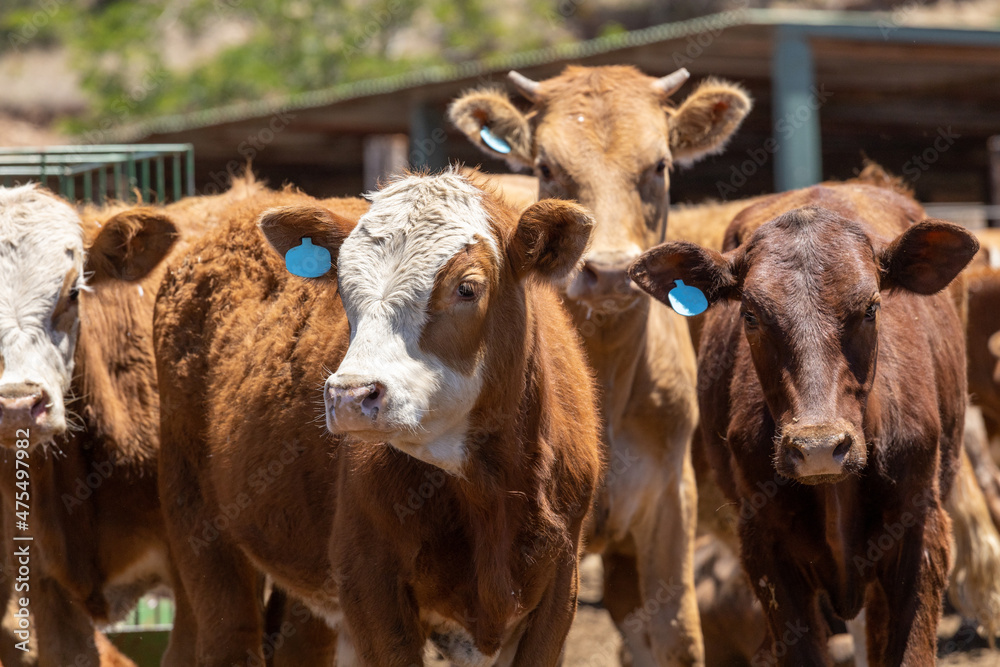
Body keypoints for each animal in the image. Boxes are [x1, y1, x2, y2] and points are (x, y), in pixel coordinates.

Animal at [153, 170, 603, 665]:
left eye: (467, 288)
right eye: (343, 288)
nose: (350, 394)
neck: (490, 491)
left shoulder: (559, 586)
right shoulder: (369, 581)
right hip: (196, 520)